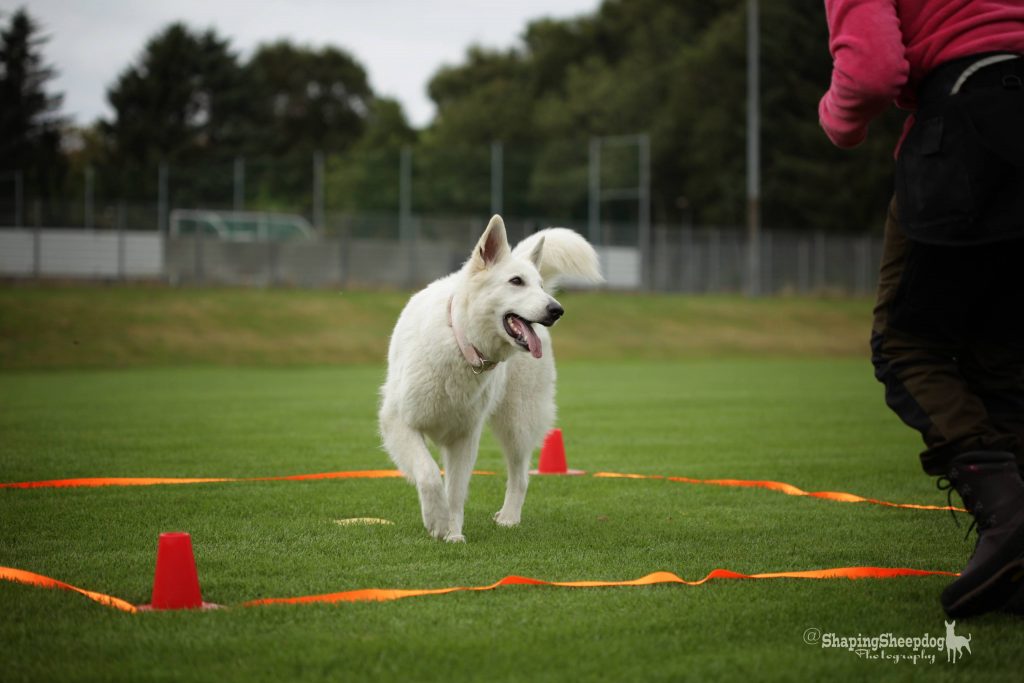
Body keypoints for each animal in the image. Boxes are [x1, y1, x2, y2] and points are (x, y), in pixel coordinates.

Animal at [376, 216, 598, 540]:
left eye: (539, 285)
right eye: (516, 281)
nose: (557, 310)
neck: (461, 344)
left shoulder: (465, 437)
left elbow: (455, 492)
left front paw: (452, 532)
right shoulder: (399, 423)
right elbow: (430, 475)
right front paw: (438, 521)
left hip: (517, 423)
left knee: (520, 476)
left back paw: (509, 517)